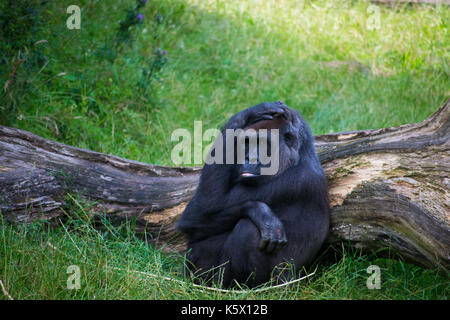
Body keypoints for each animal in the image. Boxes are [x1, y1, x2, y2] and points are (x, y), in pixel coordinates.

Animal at [177, 100, 330, 288]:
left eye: (264, 144)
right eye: (247, 143)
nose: (249, 159)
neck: (301, 155)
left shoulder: (293, 180)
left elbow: (200, 210)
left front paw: (259, 211)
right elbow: (197, 219)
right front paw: (253, 112)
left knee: (247, 230)